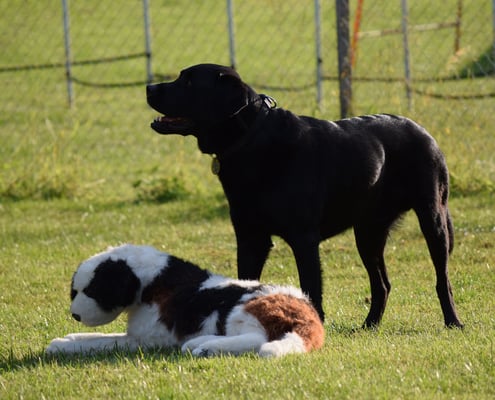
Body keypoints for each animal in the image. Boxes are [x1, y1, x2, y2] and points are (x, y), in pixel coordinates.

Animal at [46, 244, 324, 357]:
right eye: (74, 291)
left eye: (91, 291)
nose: (75, 315)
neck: (151, 282)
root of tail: (310, 316)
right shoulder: (135, 335)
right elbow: (98, 337)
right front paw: (70, 337)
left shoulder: (143, 341)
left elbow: (99, 343)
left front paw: (61, 346)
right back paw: (200, 345)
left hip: (243, 311)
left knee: (259, 339)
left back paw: (208, 347)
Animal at [146, 63, 463, 328]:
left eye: (188, 81)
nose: (149, 88)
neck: (251, 139)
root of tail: (424, 132)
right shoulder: (250, 237)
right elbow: (245, 283)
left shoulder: (304, 238)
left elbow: (310, 286)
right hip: (368, 232)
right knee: (381, 284)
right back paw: (369, 325)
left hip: (432, 218)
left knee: (442, 279)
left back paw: (453, 322)